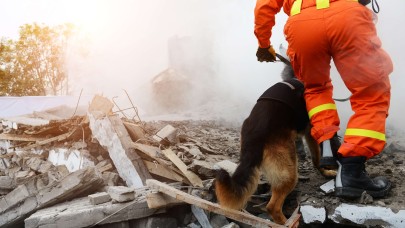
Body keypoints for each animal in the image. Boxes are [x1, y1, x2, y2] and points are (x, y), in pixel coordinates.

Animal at [215, 59, 334, 224]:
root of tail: (255, 134)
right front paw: (326, 171)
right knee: (273, 207)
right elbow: (317, 157)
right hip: (289, 170)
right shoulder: (311, 131)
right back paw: (287, 223)